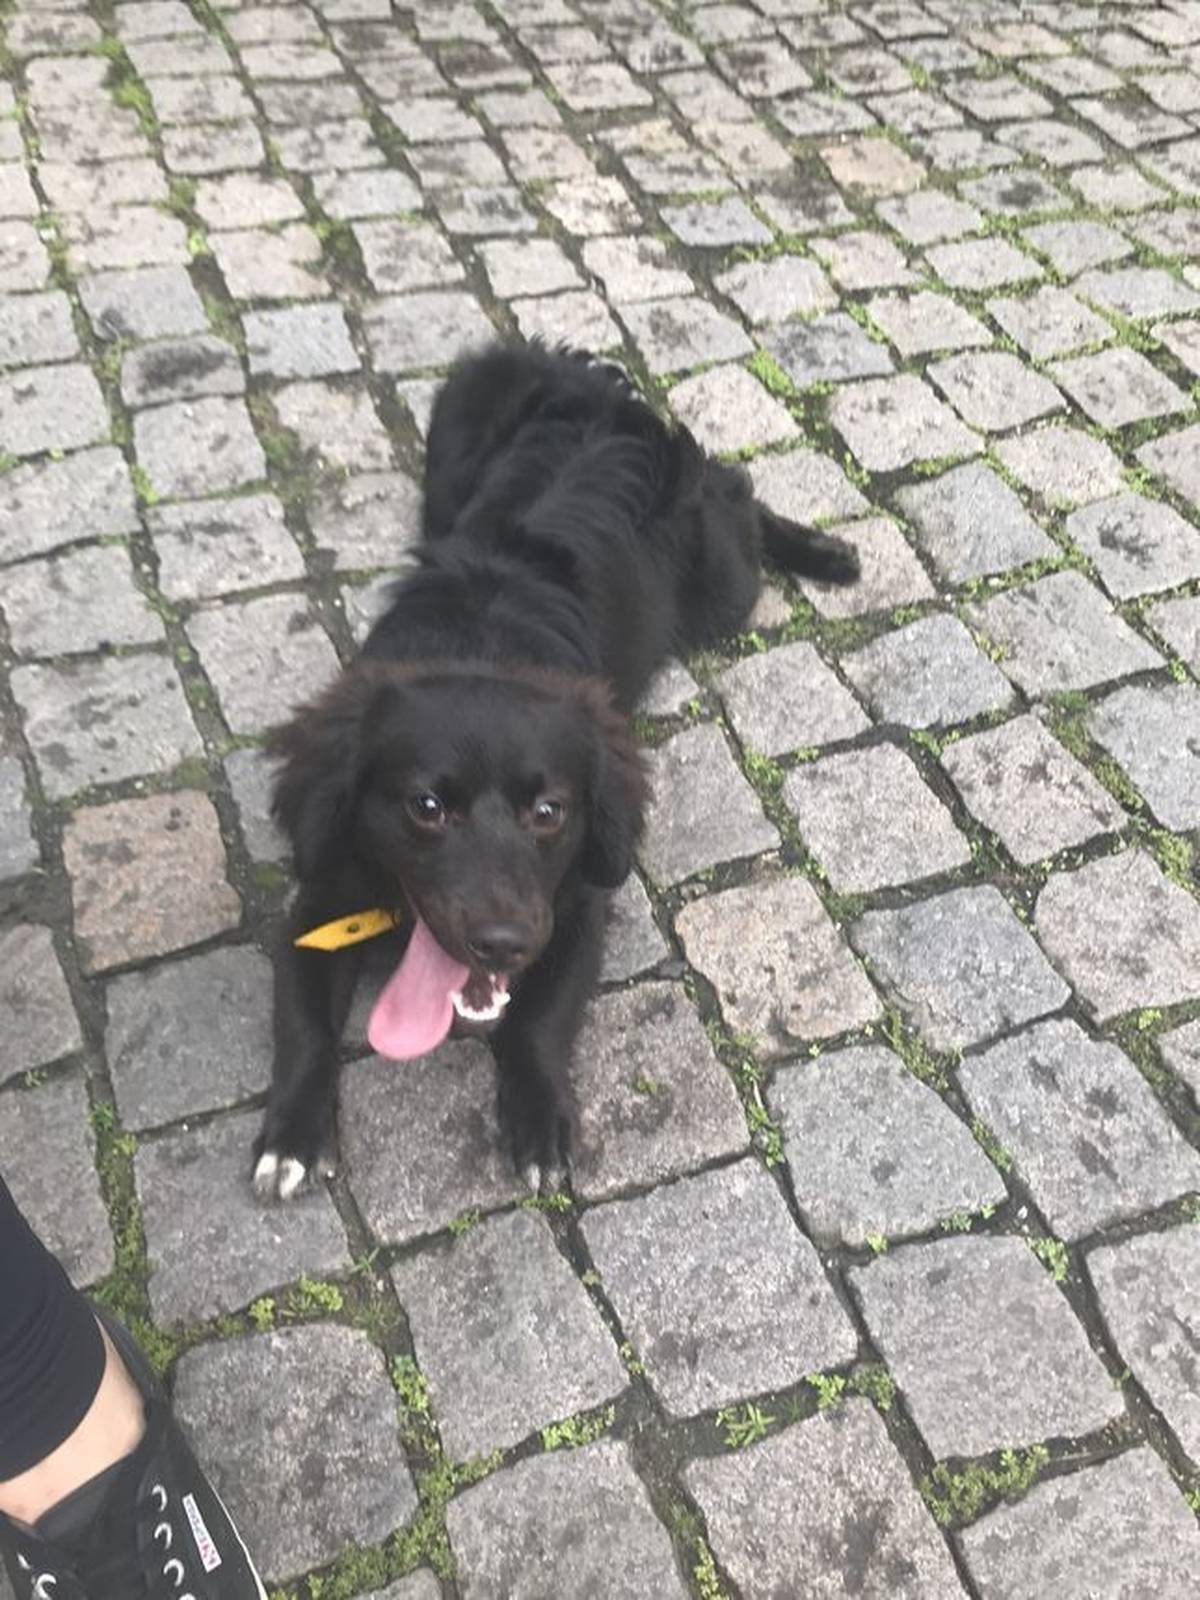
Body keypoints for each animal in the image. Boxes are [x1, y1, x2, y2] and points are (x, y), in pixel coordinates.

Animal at [253, 340, 858, 1201]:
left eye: (550, 813)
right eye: (425, 806)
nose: (503, 944)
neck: (479, 646)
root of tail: (597, 396)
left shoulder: (575, 906)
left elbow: (536, 1024)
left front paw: (538, 1121)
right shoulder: (321, 901)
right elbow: (302, 1026)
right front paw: (292, 1137)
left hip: (724, 595)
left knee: (738, 490)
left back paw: (827, 552)